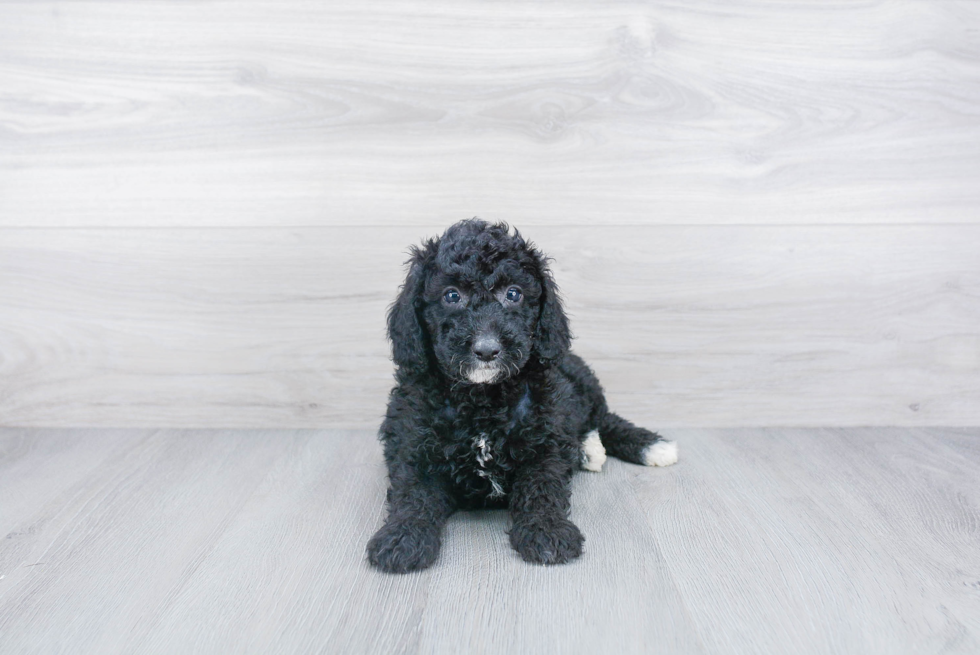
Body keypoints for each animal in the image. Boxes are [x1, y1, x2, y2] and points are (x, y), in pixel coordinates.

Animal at [364, 220, 676, 576]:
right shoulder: (413, 444)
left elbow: (541, 486)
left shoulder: (545, 440)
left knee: (601, 418)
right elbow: (413, 492)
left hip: (578, 380)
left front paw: (546, 531)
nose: (487, 349)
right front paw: (402, 537)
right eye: (452, 295)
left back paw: (634, 447)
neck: (482, 399)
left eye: (513, 294)